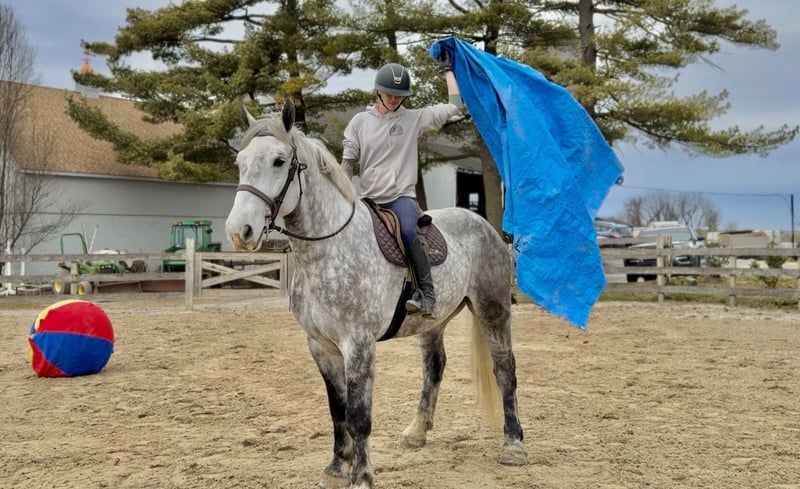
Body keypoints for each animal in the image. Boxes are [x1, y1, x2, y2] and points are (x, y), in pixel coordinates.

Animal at [225, 100, 528, 489]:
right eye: (241, 161)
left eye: (279, 161)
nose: (240, 231)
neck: (331, 247)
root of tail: (484, 225)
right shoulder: (321, 346)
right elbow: (337, 411)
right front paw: (336, 469)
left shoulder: (358, 345)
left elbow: (358, 416)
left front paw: (362, 476)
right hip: (433, 322)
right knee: (434, 368)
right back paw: (417, 431)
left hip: (493, 310)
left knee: (505, 370)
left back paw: (513, 445)